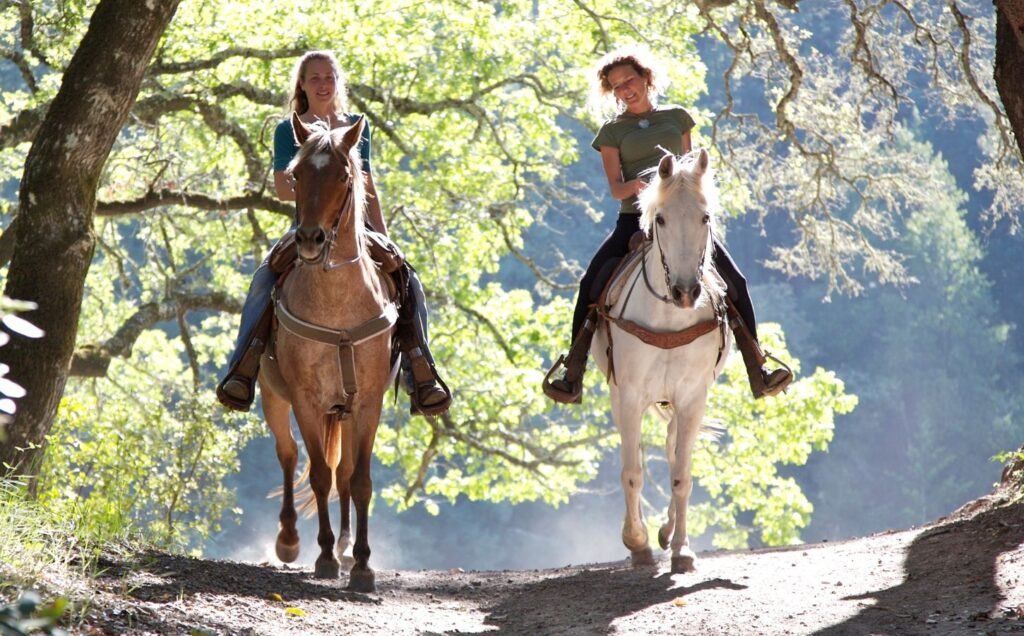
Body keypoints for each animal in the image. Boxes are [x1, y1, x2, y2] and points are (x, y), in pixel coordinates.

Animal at [256, 111, 395, 594]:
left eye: (344, 175)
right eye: (296, 175)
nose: (311, 240)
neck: (338, 310)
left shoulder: (368, 402)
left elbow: (361, 480)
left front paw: (363, 566)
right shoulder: (306, 399)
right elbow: (317, 473)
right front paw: (323, 558)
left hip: (346, 411)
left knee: (345, 473)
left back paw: (348, 546)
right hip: (273, 397)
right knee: (288, 454)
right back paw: (290, 540)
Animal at [593, 148, 729, 573]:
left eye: (705, 217)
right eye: (662, 219)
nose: (686, 292)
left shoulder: (692, 397)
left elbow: (681, 474)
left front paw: (682, 550)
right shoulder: (629, 394)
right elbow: (632, 472)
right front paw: (636, 543)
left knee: (671, 452)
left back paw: (668, 532)